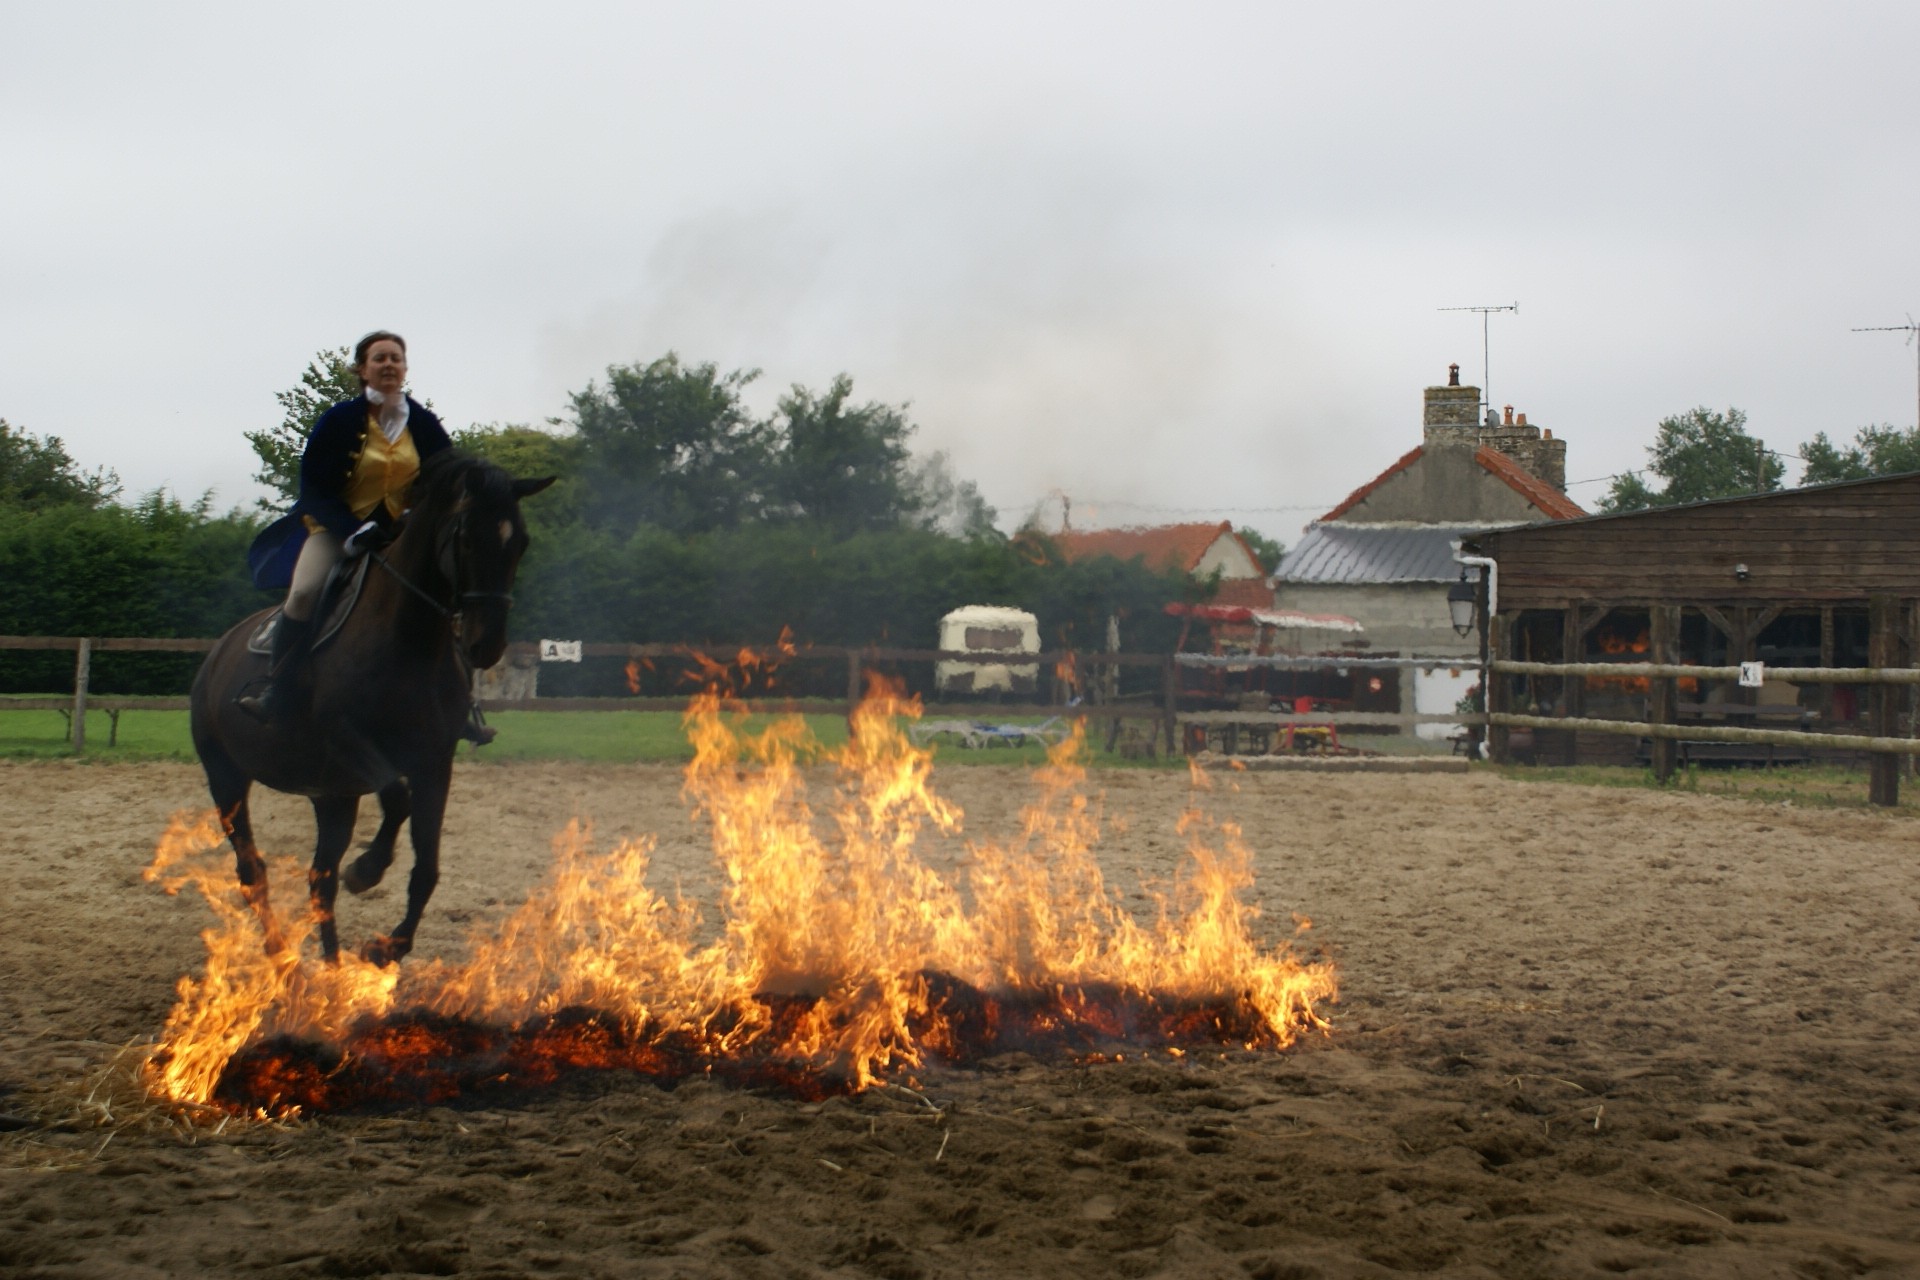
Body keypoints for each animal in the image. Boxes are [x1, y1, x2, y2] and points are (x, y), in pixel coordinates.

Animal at [190, 450, 552, 959]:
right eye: (465, 536)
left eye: (520, 541)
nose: (487, 645)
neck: (410, 643)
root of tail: (216, 654)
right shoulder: (351, 743)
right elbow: (398, 800)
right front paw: (366, 870)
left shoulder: (434, 762)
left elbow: (427, 868)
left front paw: (390, 947)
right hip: (227, 779)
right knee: (252, 870)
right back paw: (282, 953)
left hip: (331, 796)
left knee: (319, 880)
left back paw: (333, 965)